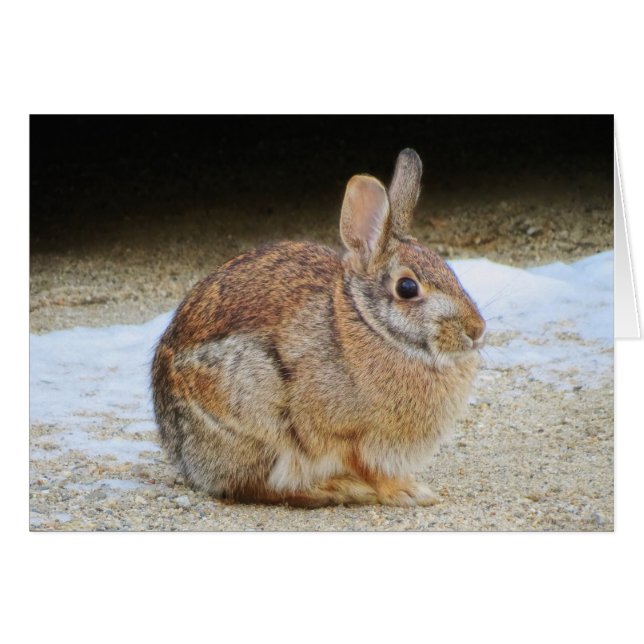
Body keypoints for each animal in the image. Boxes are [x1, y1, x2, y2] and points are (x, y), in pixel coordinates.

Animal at [151, 149, 485, 507]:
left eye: (449, 269)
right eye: (407, 288)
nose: (476, 331)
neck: (369, 324)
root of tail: (184, 458)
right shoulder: (345, 434)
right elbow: (367, 467)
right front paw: (408, 492)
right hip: (255, 421)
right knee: (257, 487)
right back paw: (338, 489)